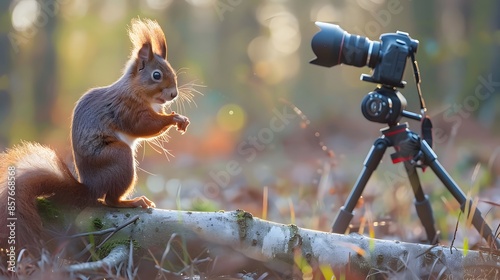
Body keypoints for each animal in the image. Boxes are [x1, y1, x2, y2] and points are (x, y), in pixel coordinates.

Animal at [0, 17, 189, 249]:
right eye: (156, 75)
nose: (174, 94)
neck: (137, 90)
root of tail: (90, 188)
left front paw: (180, 119)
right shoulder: (126, 109)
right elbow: (144, 126)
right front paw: (173, 119)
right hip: (119, 157)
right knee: (110, 200)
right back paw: (132, 201)